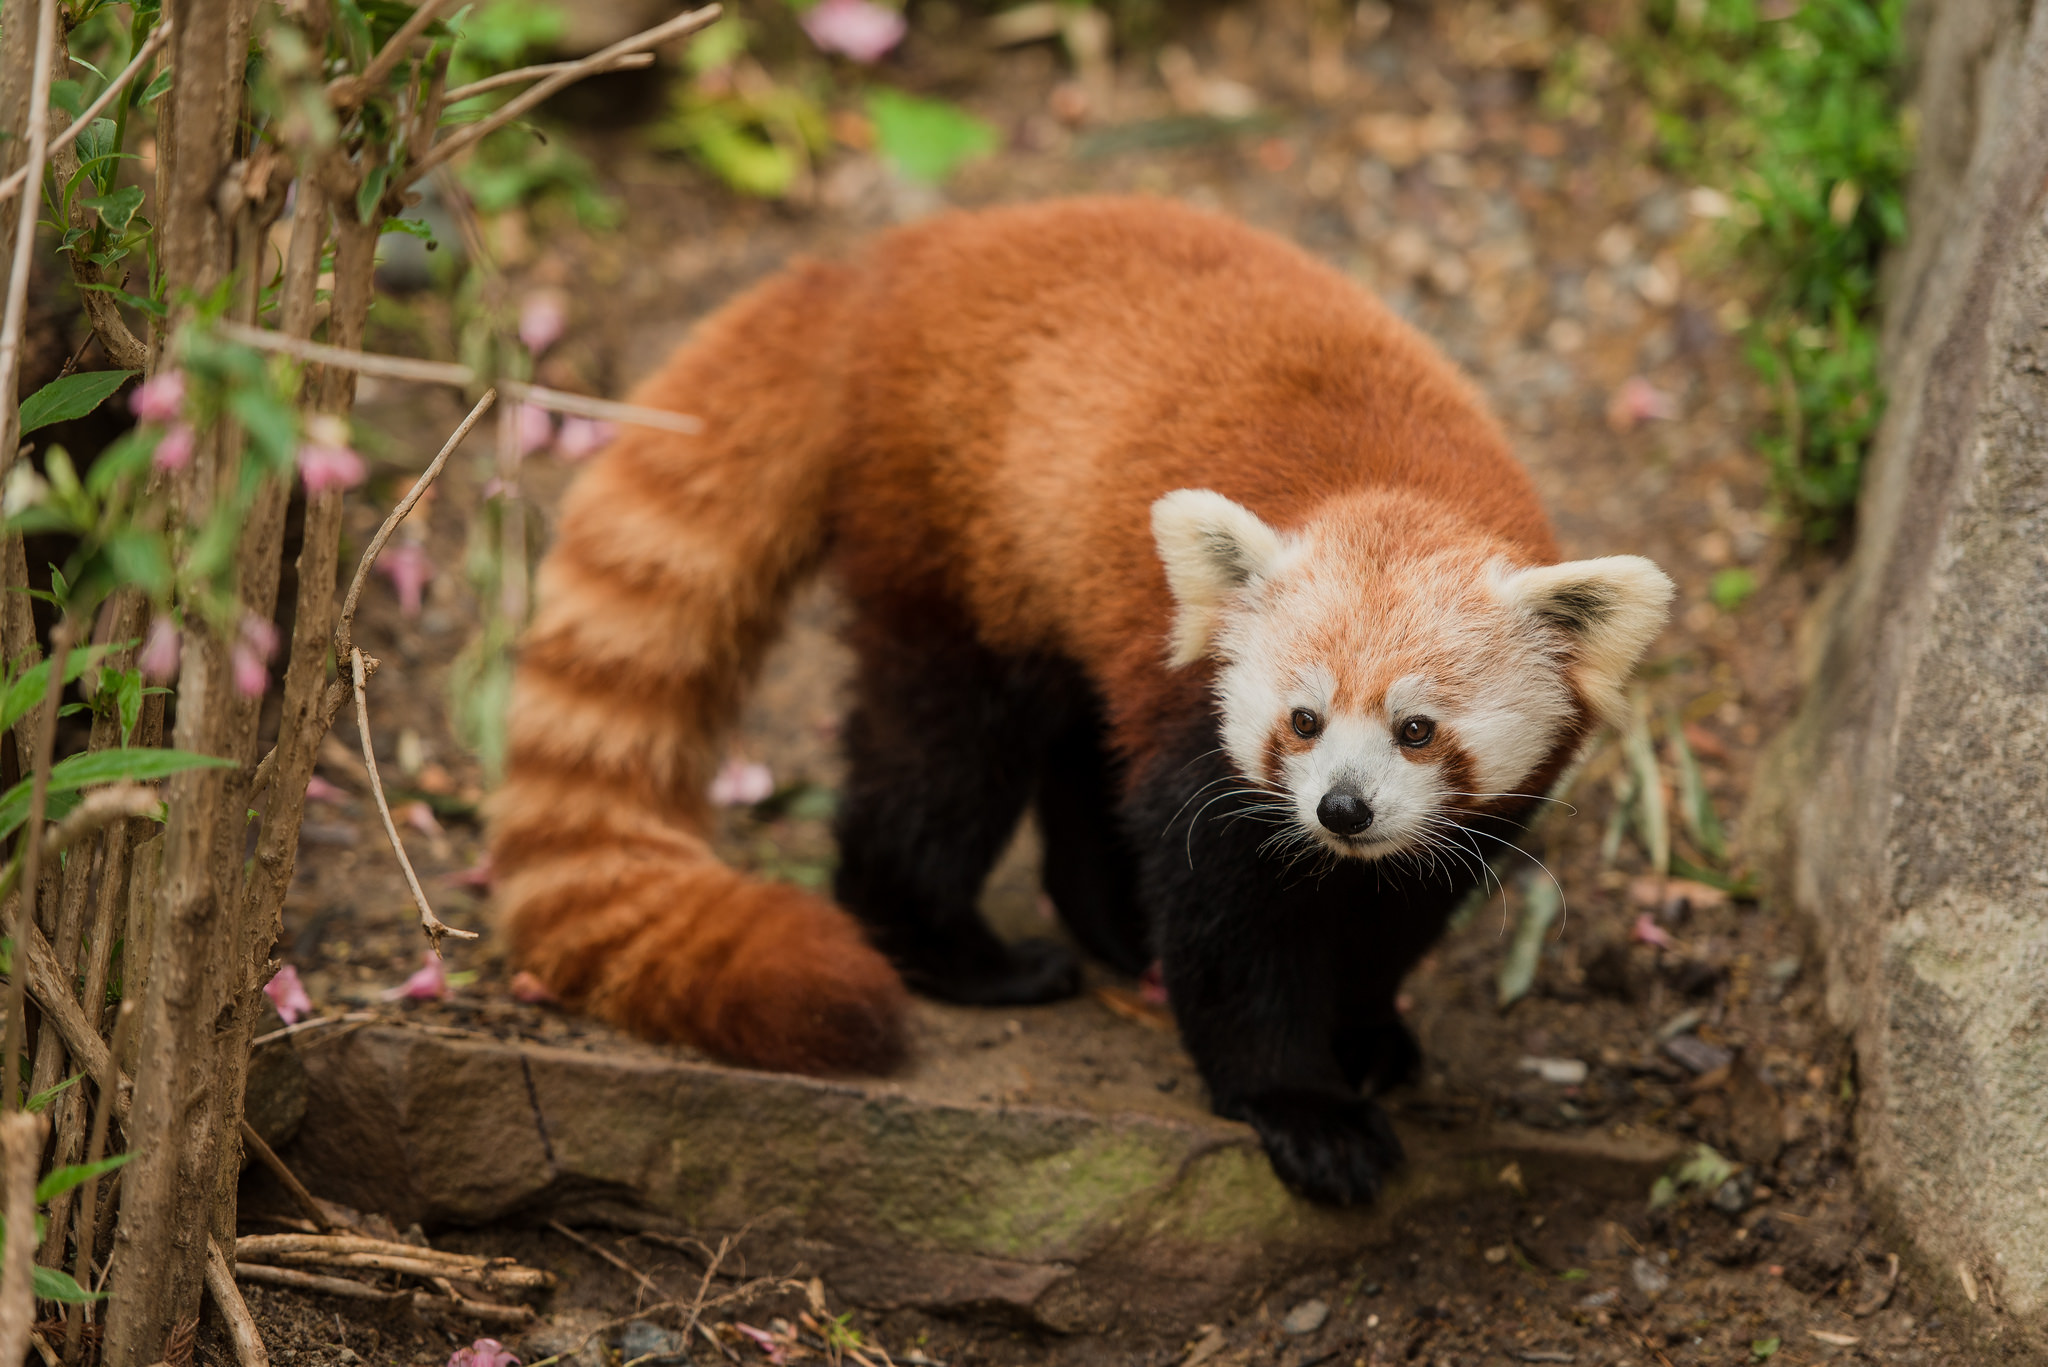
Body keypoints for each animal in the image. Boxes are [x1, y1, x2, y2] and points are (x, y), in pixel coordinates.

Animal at [487, 197, 1671, 1205]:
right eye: (1301, 719)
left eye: (1416, 729)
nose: (1341, 809)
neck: (1404, 488)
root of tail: (895, 261)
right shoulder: (1209, 739)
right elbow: (1228, 924)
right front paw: (1301, 1105)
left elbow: (1397, 908)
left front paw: (1368, 1029)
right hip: (960, 529)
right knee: (945, 750)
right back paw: (956, 949)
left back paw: (1104, 921)